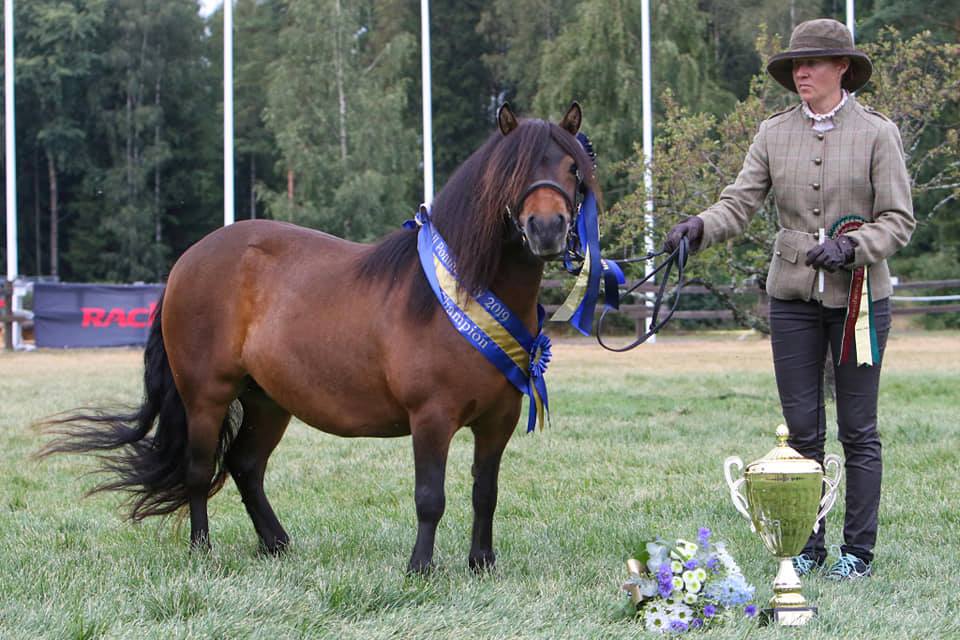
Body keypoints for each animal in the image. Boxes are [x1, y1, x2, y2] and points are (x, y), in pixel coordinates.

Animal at [41, 102, 596, 572]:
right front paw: (420, 569)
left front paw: (482, 564)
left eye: (572, 169)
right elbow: (430, 497)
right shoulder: (431, 417)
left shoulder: (499, 420)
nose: (546, 228)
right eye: (513, 170)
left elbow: (486, 491)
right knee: (201, 470)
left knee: (245, 465)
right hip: (206, 395)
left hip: (266, 401)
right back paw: (203, 552)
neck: (455, 294)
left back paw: (275, 543)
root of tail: (187, 261)